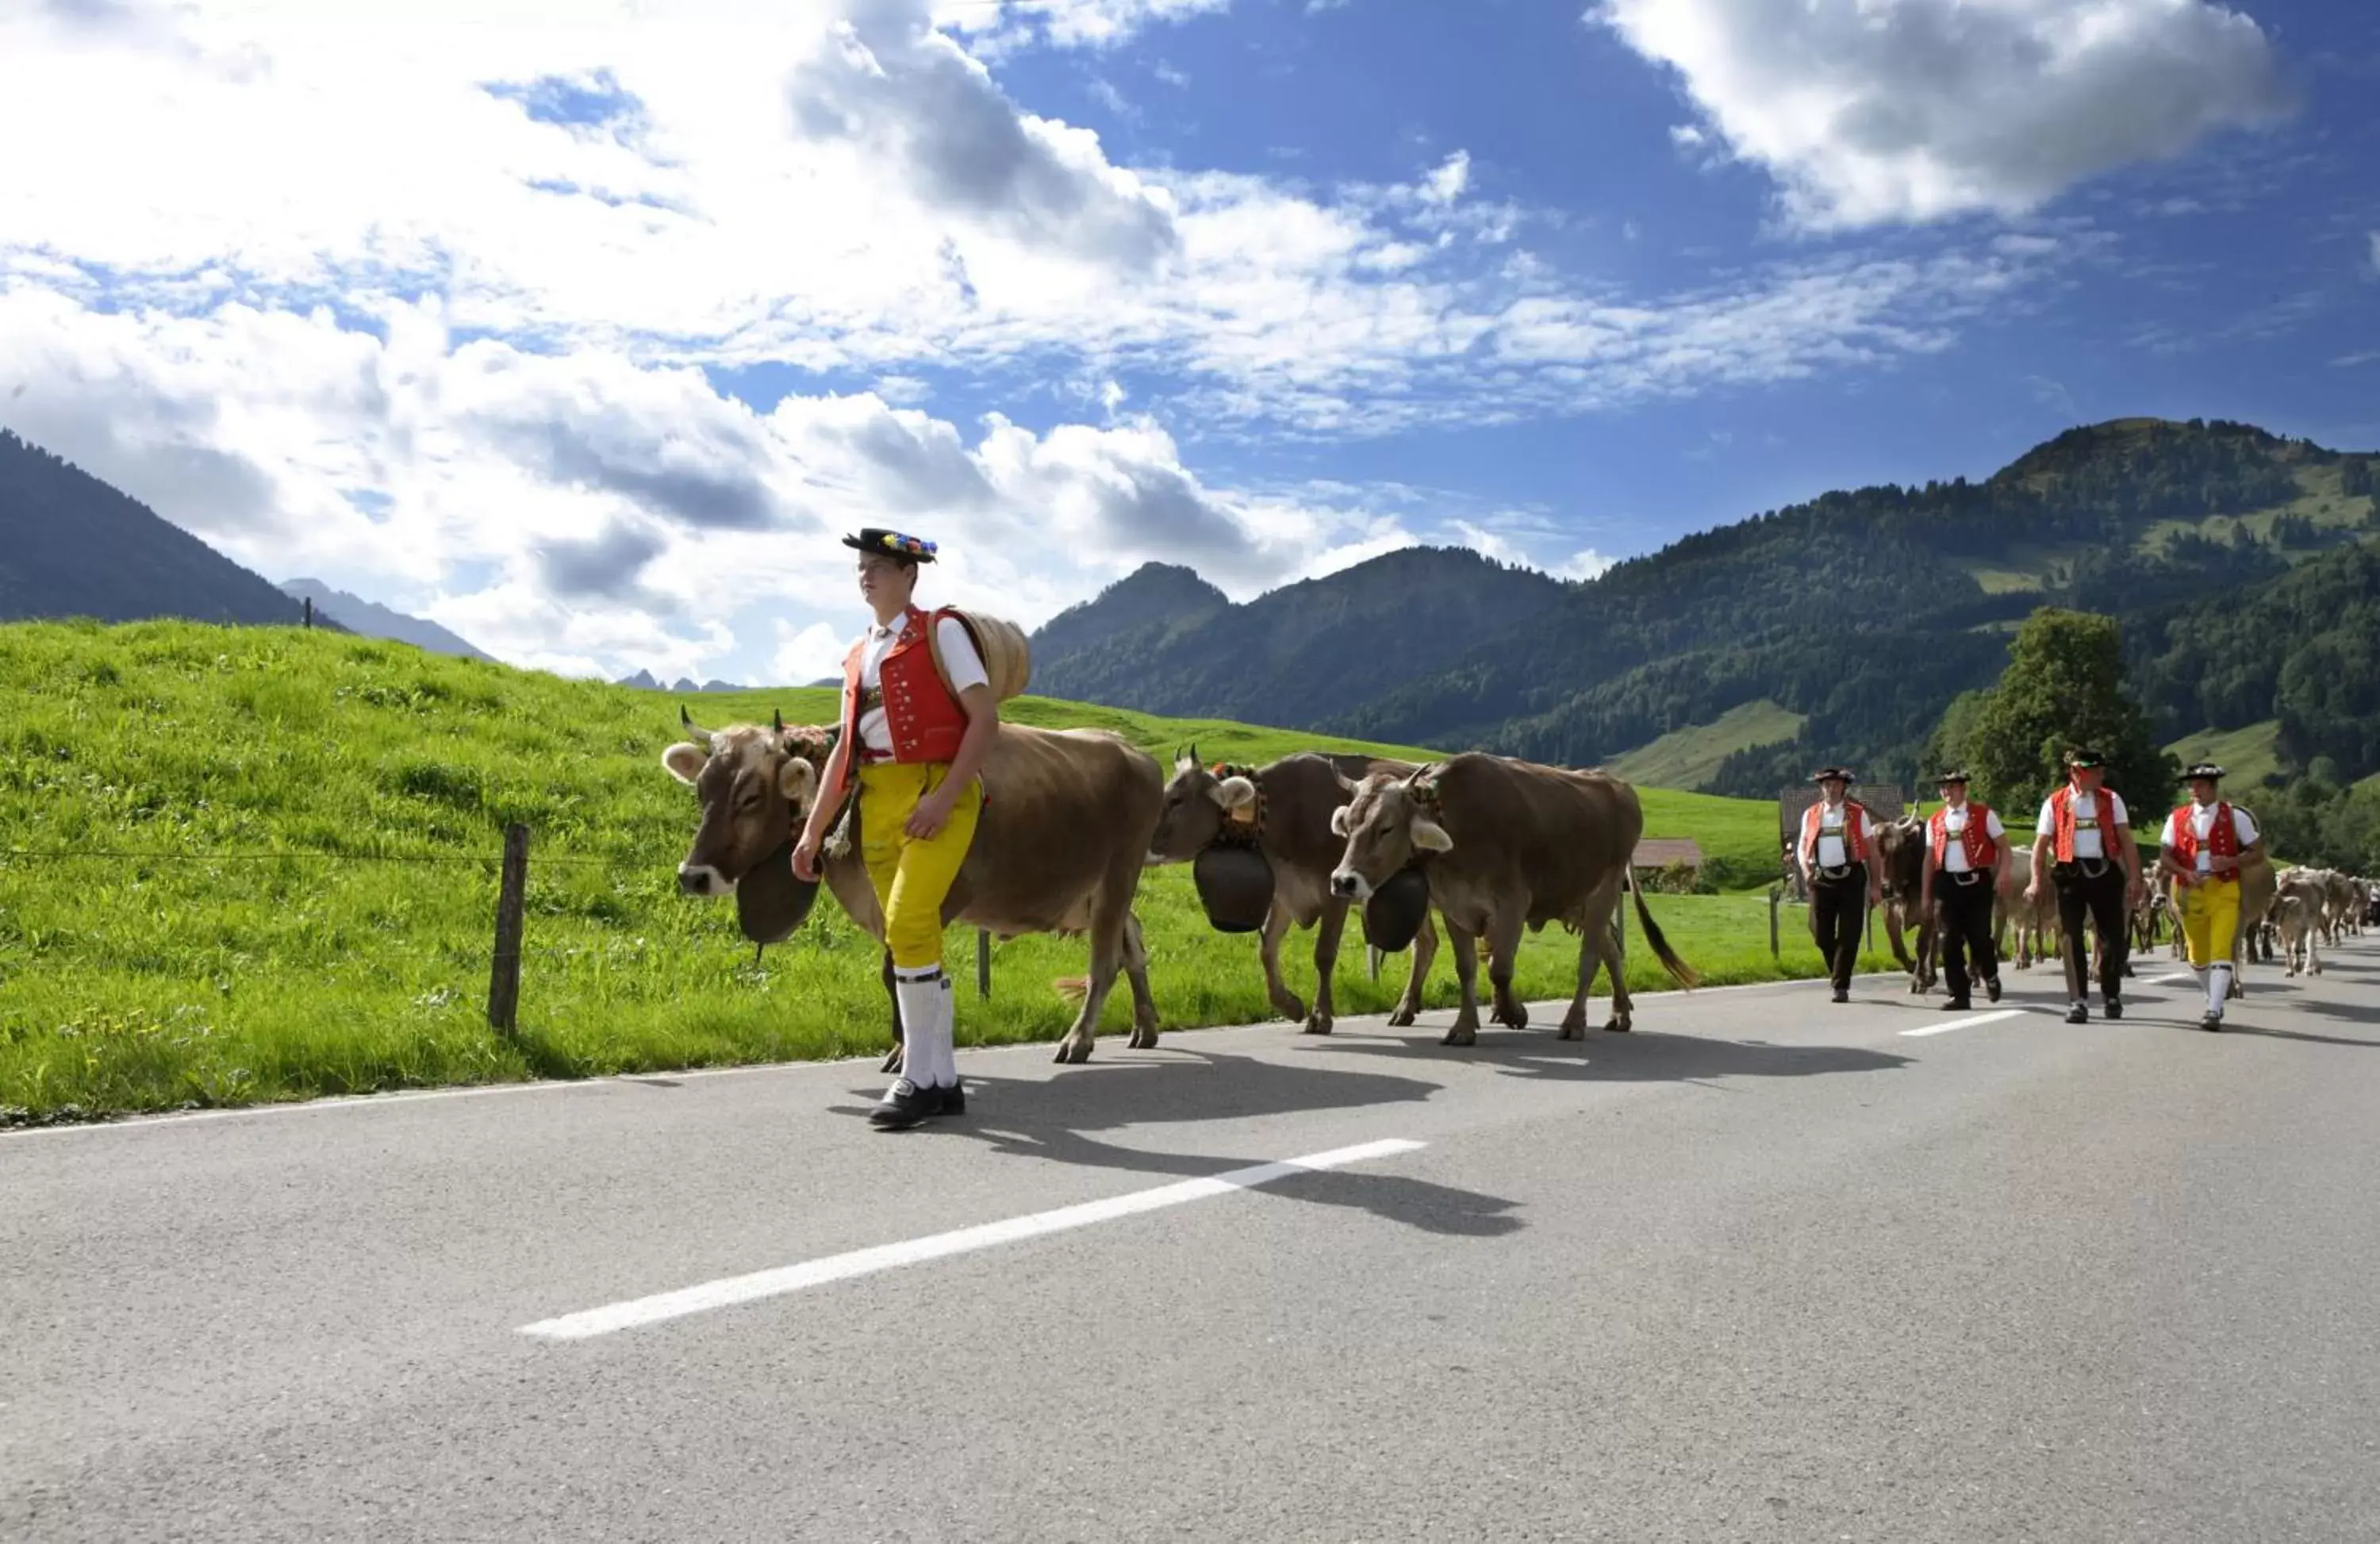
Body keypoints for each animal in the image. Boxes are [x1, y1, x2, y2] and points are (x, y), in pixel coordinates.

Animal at [666, 709, 1166, 1061]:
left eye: (750, 797)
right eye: (702, 791)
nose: (693, 876)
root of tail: (1130, 749)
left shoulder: (934, 899)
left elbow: (901, 974)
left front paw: (905, 1051)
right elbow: (891, 977)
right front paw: (898, 1048)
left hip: (1119, 874)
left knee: (1105, 962)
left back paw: (1078, 1040)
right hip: (1095, 891)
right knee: (1134, 945)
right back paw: (1145, 1027)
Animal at [1147, 751, 1438, 1037]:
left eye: (1176, 800)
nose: (1143, 842)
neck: (1290, 812)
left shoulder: (1336, 891)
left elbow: (1324, 954)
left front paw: (1320, 1016)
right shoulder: (1285, 892)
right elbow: (1266, 950)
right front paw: (1290, 1006)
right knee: (1427, 943)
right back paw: (1405, 1009)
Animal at [1323, 751, 1695, 1042]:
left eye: (1386, 828)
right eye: (1349, 825)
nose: (1343, 881)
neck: (1457, 821)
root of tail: (1618, 785)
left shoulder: (1513, 903)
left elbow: (1500, 969)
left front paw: (1514, 1013)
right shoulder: (1454, 905)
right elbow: (1467, 967)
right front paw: (1464, 1027)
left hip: (1605, 888)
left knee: (1590, 957)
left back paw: (1575, 1023)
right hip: (1577, 900)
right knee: (1611, 950)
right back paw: (1620, 1014)